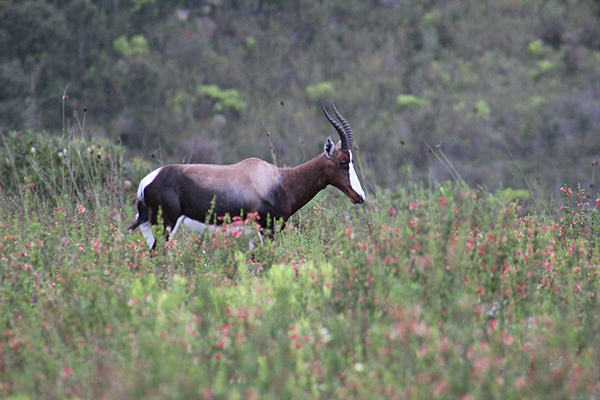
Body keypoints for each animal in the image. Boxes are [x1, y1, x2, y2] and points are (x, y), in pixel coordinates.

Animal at [127, 102, 366, 247]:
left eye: (352, 160)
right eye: (343, 162)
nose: (360, 196)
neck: (280, 181)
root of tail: (147, 181)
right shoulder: (266, 229)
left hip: (150, 225)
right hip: (167, 225)